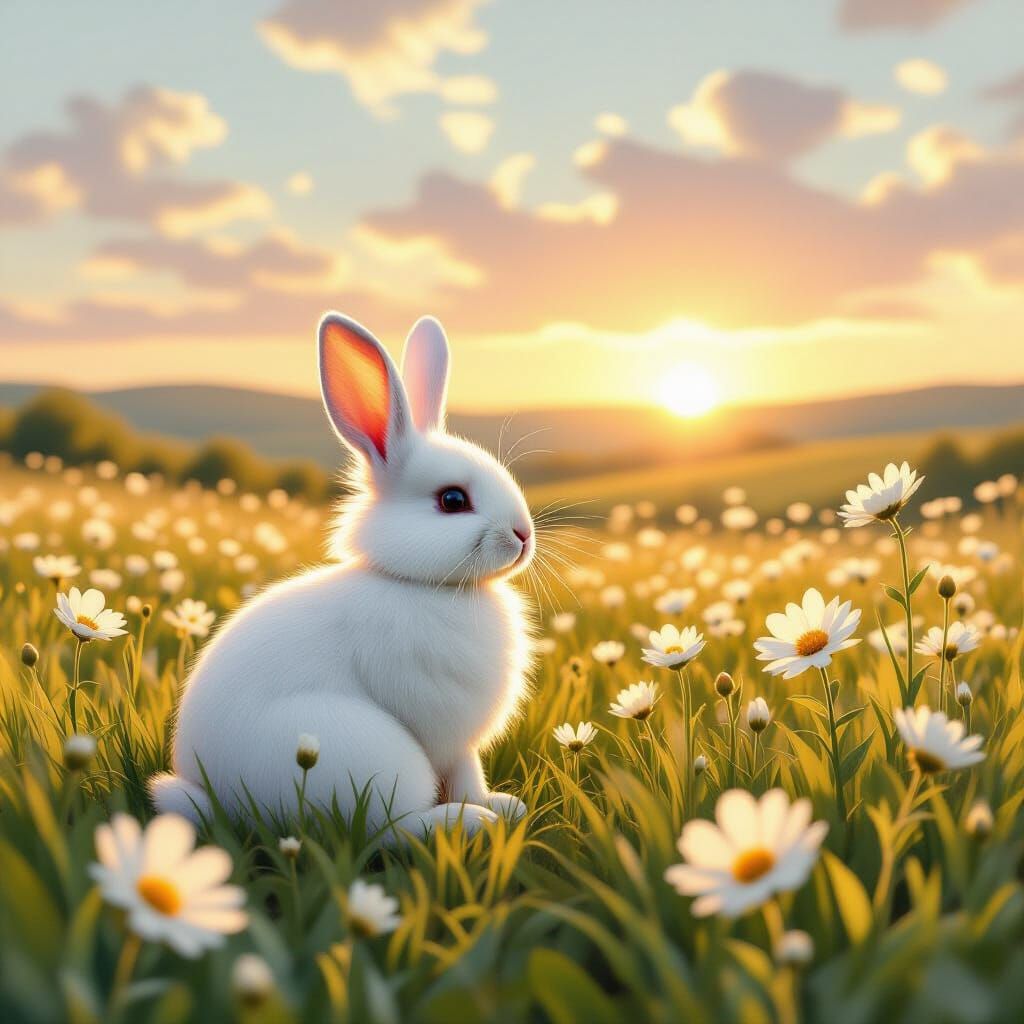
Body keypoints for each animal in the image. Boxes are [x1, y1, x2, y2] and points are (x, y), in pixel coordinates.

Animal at [149, 312, 536, 836]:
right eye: (453, 500)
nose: (523, 535)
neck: (419, 584)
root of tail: (218, 797)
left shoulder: (461, 744)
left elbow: (468, 771)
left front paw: (504, 803)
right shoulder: (441, 726)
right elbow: (458, 767)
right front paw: (486, 808)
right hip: (370, 754)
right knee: (391, 828)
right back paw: (466, 822)